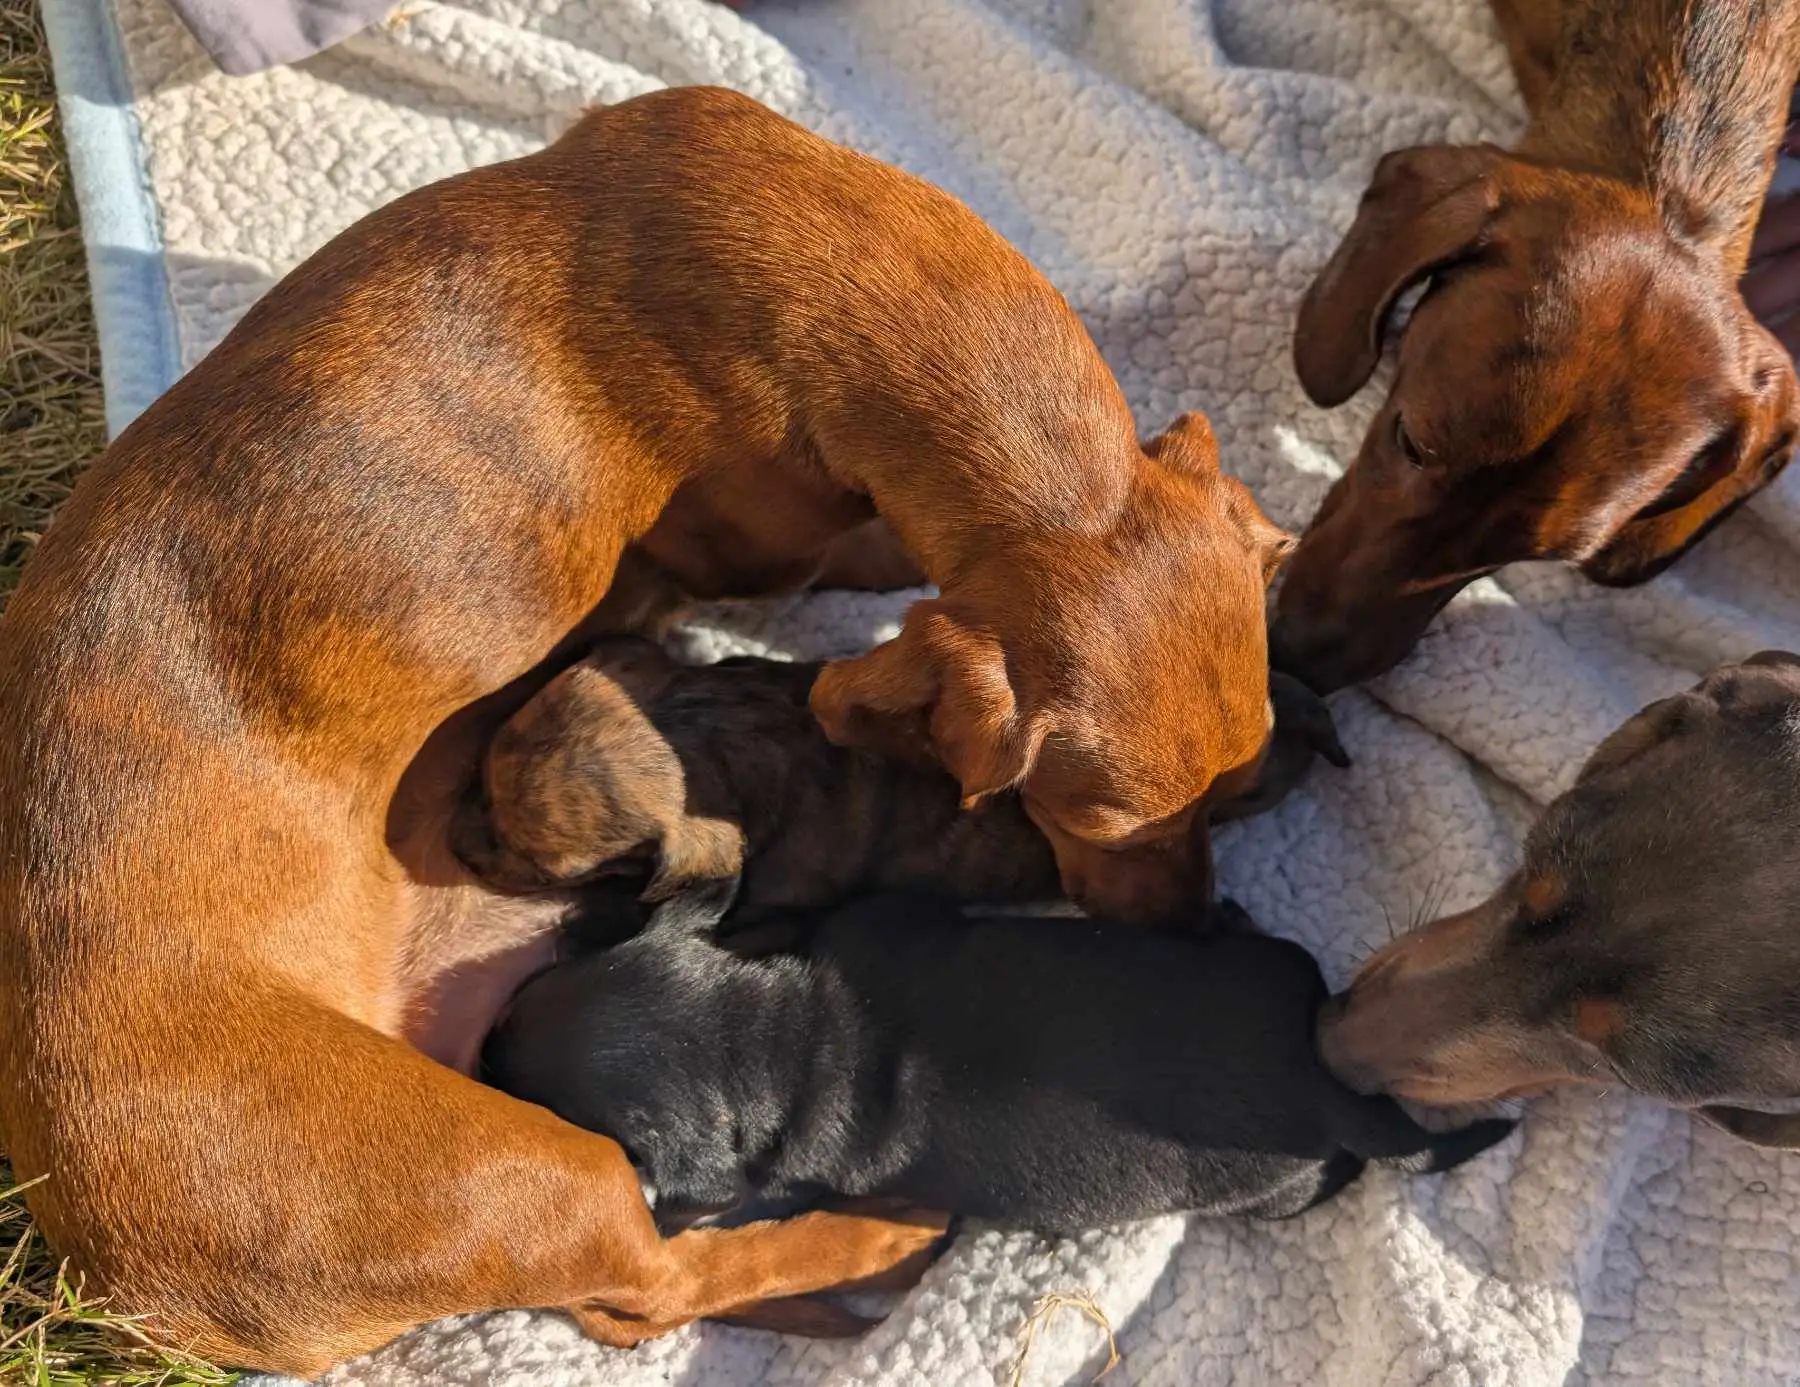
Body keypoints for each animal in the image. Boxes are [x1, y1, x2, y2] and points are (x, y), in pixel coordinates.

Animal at [486, 888, 1512, 1237]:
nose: (480, 1047)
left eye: (512, 1074)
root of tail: (1322, 1081)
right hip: (1276, 967)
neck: (776, 1033)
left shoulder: (774, 1181)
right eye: (512, 1005)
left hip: (1276, 1188)